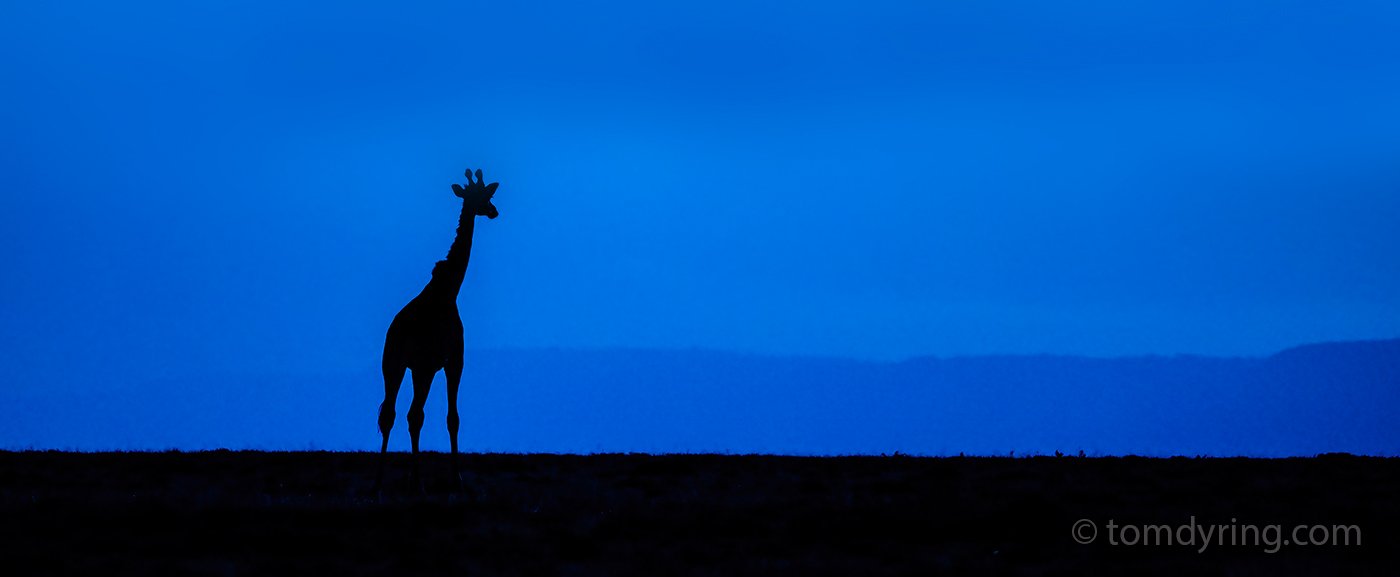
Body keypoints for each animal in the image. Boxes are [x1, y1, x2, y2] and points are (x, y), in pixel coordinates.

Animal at [376, 168, 499, 491]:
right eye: (483, 196)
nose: (494, 211)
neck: (449, 290)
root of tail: (396, 332)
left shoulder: (437, 364)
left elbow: (445, 417)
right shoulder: (451, 361)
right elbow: (449, 418)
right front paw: (456, 478)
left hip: (393, 365)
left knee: (390, 413)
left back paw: (382, 478)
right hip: (417, 368)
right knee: (412, 414)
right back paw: (415, 480)